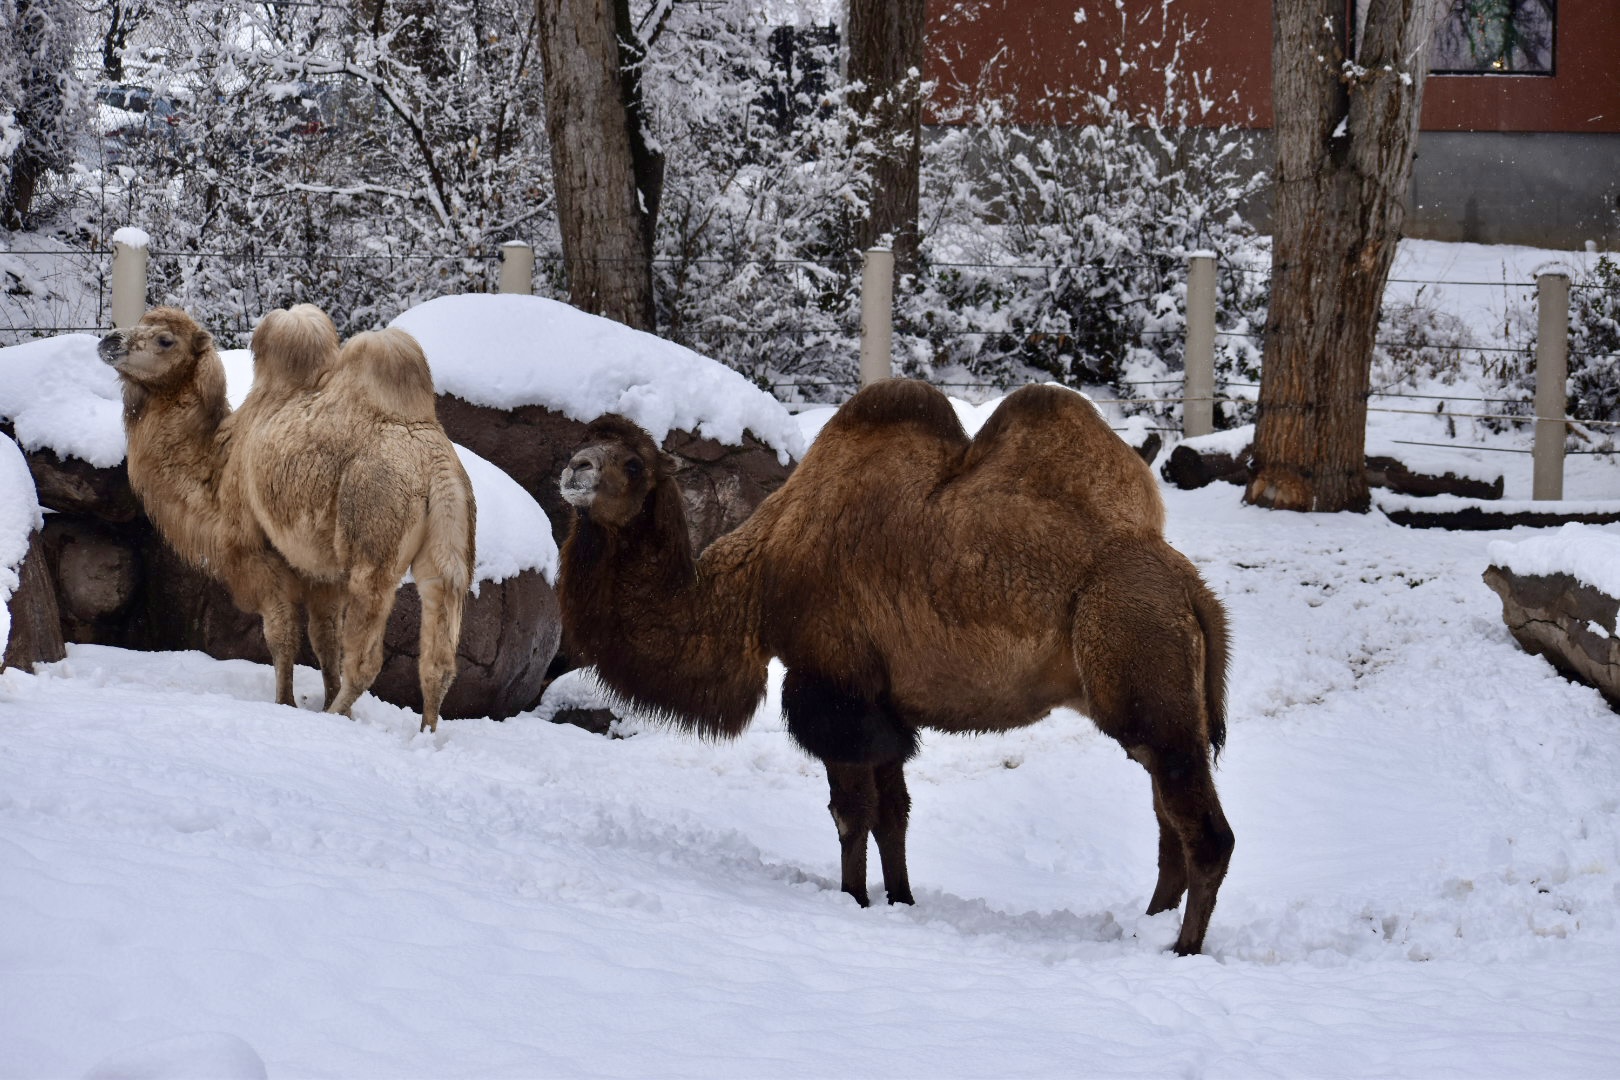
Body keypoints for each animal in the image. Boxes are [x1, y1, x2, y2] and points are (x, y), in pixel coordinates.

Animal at [100, 305, 475, 732]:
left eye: (165, 339)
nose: (109, 340)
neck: (218, 466)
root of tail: (433, 466)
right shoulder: (322, 574)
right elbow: (323, 639)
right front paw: (321, 696)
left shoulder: (259, 552)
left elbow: (282, 636)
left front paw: (286, 703)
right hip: (451, 538)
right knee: (438, 653)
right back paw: (425, 734)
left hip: (374, 536)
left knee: (366, 658)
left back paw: (336, 716)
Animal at [558, 379, 1234, 955]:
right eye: (584, 441)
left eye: (635, 464)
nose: (574, 469)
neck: (756, 585)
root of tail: (1192, 588)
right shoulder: (882, 705)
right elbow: (894, 813)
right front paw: (901, 901)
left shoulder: (834, 687)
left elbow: (851, 813)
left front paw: (853, 900)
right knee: (1168, 819)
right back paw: (1147, 926)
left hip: (1139, 658)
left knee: (1205, 832)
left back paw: (1181, 948)